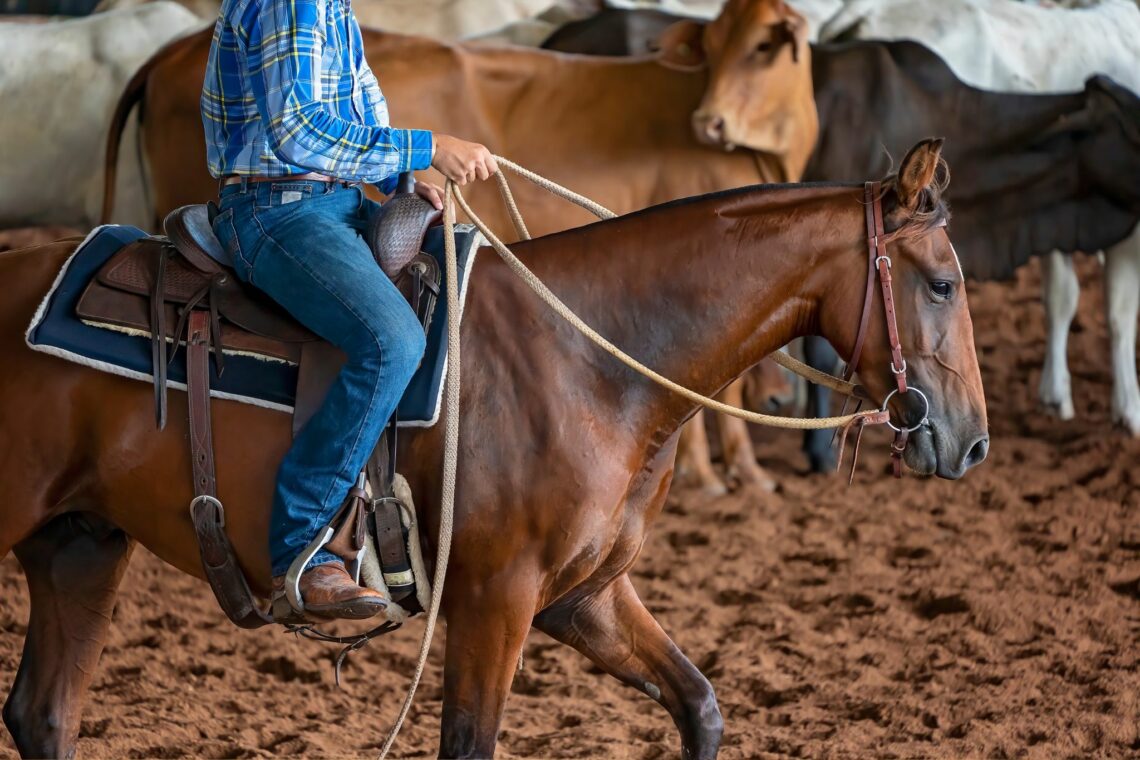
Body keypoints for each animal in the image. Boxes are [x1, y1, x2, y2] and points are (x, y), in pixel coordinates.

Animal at [0, 139, 988, 758]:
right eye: (941, 283)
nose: (972, 443)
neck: (592, 357)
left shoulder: (584, 595)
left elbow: (699, 705)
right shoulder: (493, 599)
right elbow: (470, 743)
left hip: (81, 544)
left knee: (43, 716)